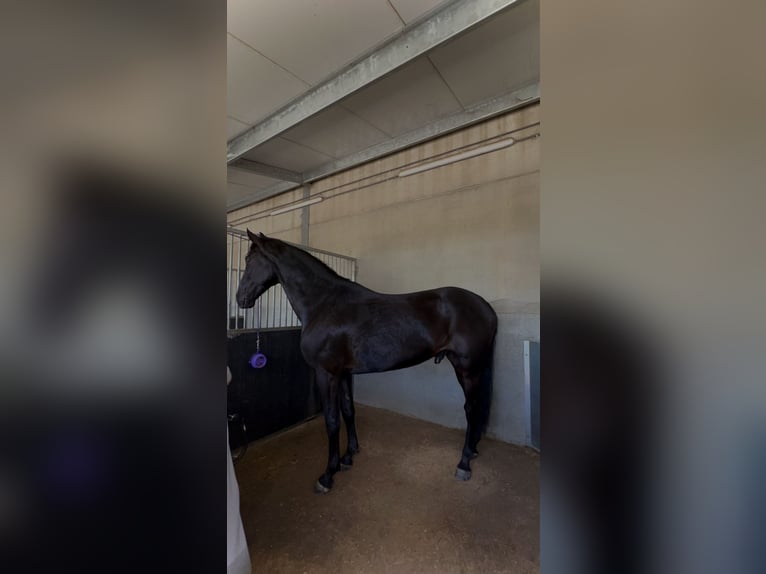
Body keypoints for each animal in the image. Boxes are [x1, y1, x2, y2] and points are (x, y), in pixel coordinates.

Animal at [236, 230, 498, 493]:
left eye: (248, 259)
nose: (240, 298)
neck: (324, 303)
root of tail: (485, 306)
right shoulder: (343, 373)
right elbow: (348, 410)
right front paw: (348, 456)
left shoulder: (326, 373)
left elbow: (331, 420)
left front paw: (328, 475)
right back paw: (472, 450)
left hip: (467, 369)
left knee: (471, 408)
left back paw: (464, 462)